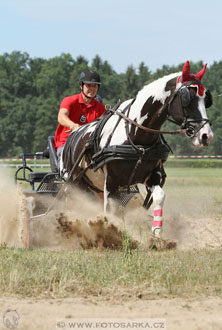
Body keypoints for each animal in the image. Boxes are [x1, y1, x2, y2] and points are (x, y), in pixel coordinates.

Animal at [59, 60, 213, 238]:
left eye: (206, 99)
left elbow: (158, 197)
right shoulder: (111, 181)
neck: (137, 136)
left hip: (92, 186)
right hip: (74, 182)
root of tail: (73, 135)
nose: (206, 135)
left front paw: (156, 233)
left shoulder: (152, 175)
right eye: (187, 97)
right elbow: (109, 211)